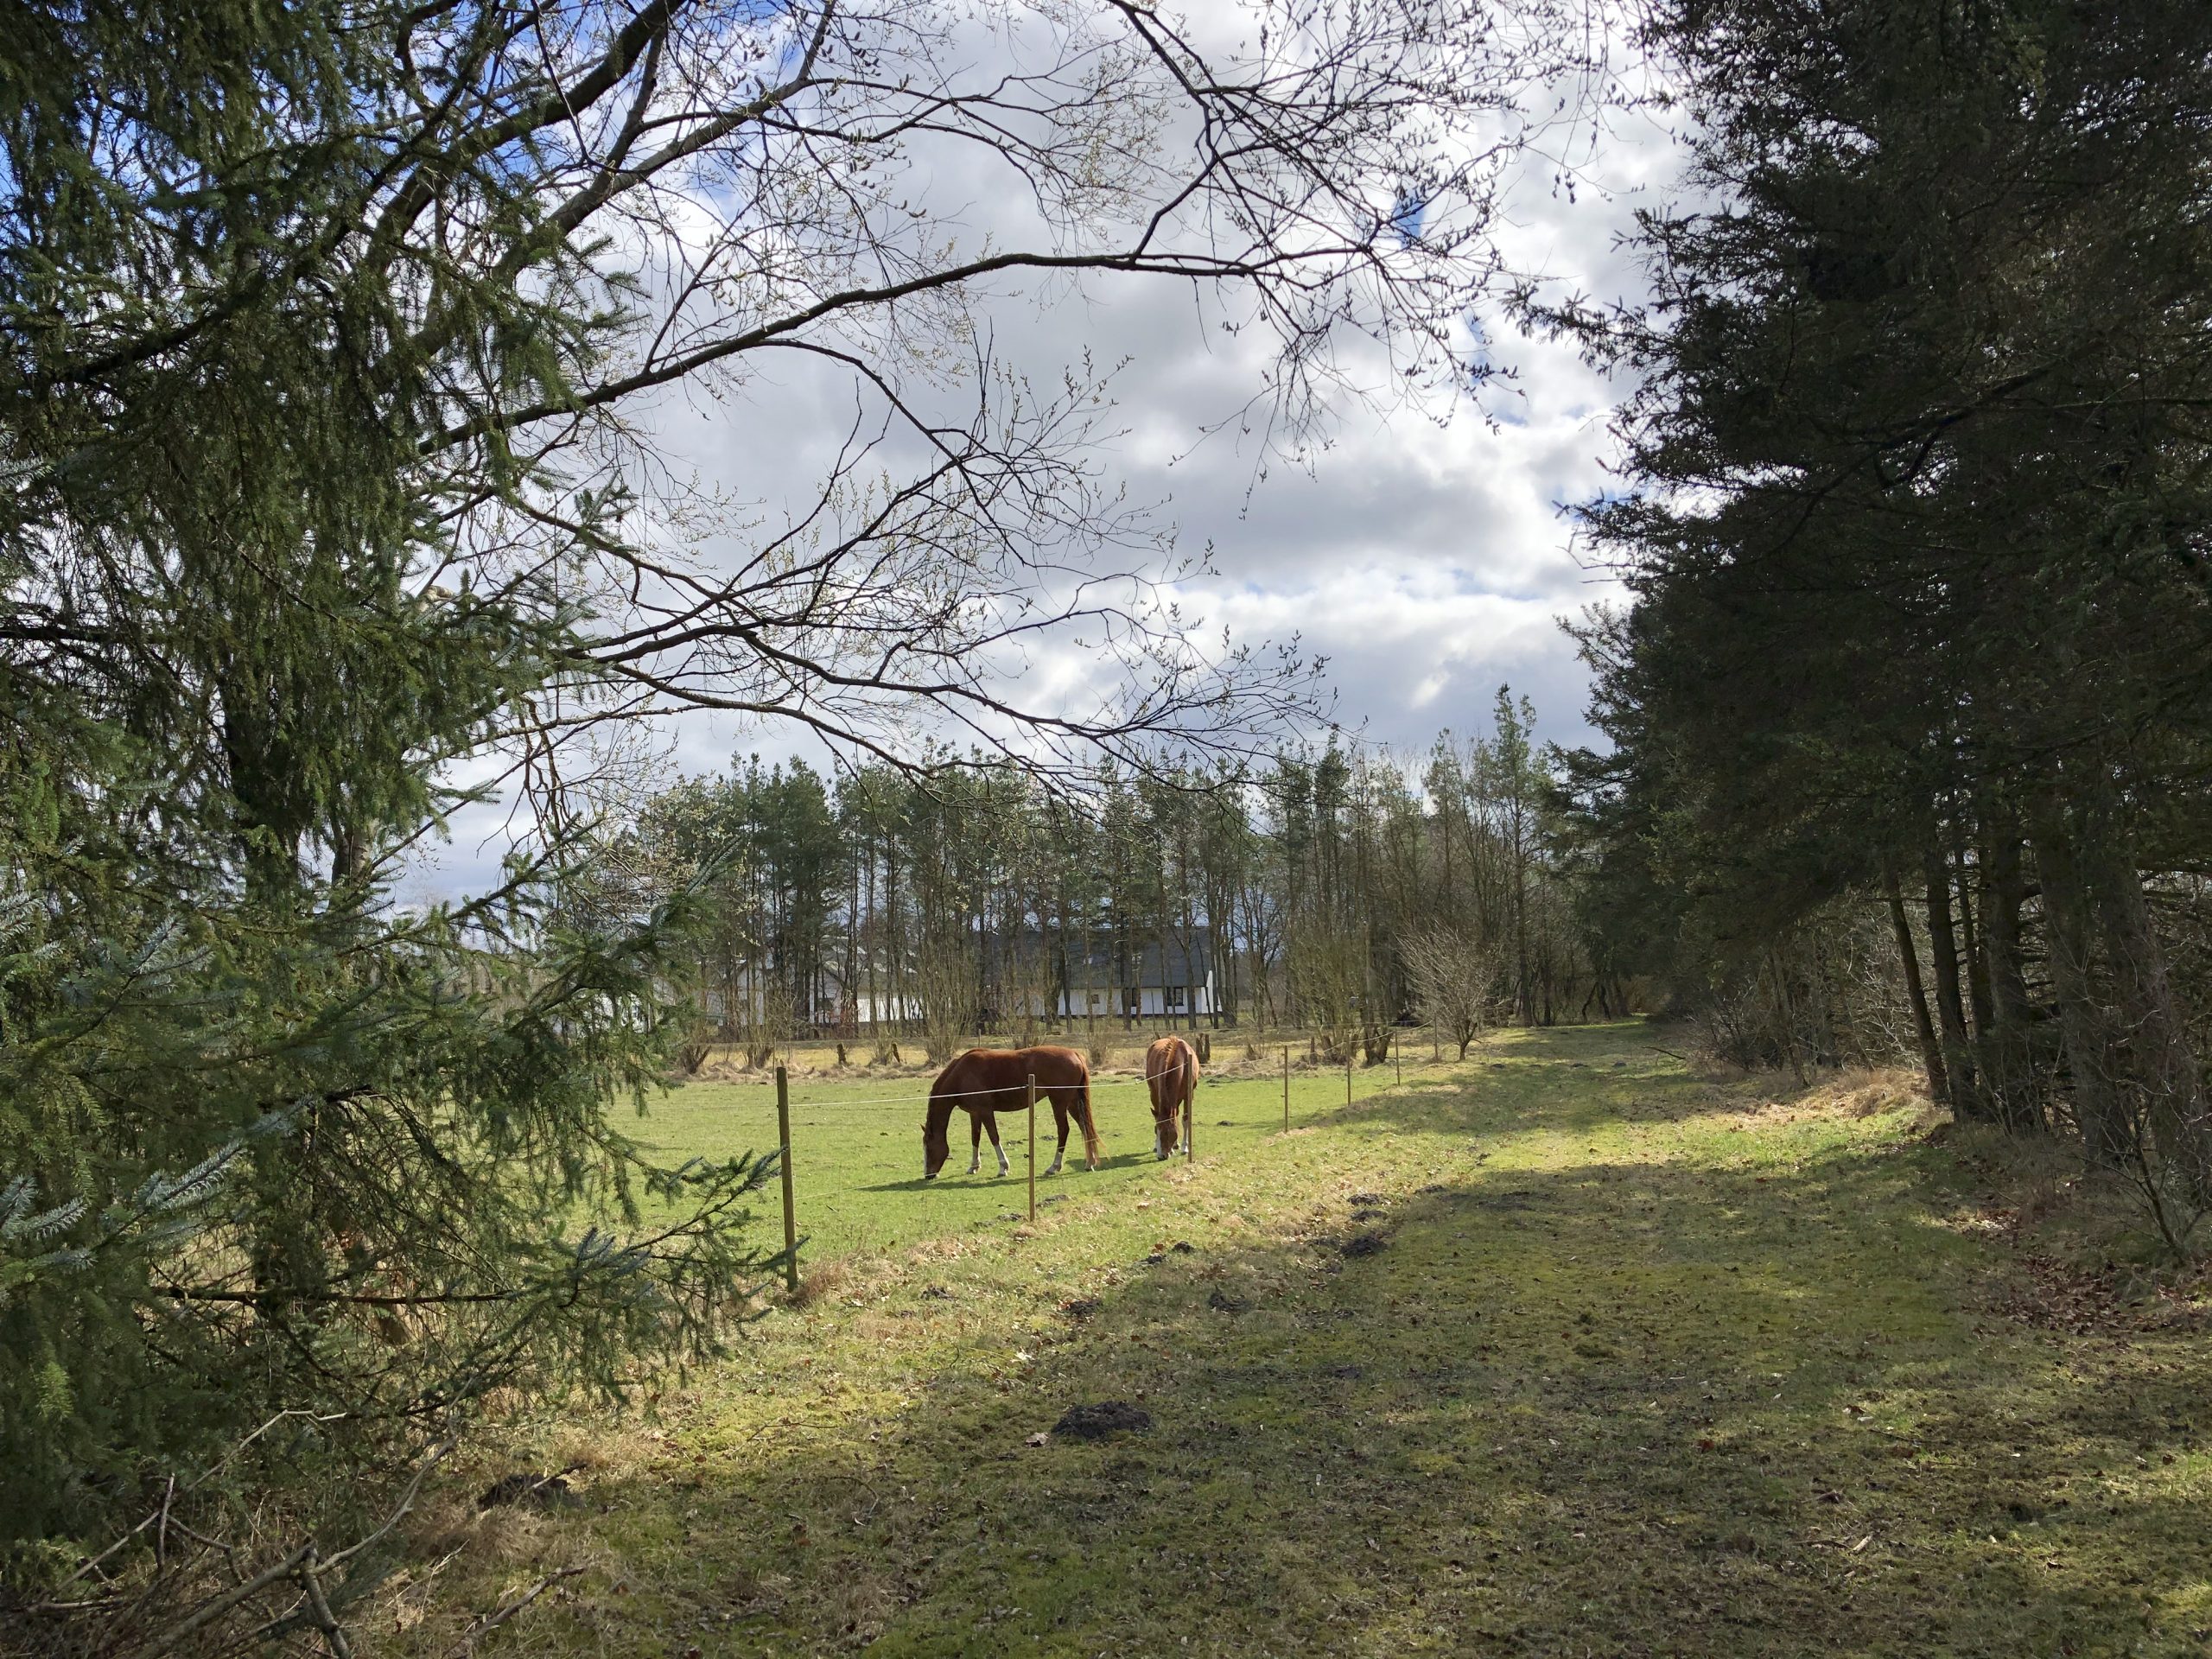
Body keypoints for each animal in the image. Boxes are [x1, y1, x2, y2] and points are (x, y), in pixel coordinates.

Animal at [915, 1052, 1096, 1185]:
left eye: (928, 1148)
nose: (928, 1175)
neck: (961, 1074)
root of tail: (1075, 1054)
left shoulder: (985, 1112)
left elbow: (994, 1137)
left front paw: (1003, 1167)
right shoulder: (975, 1113)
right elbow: (975, 1138)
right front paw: (974, 1166)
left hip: (1058, 1103)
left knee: (1064, 1130)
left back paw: (1054, 1167)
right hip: (1073, 1103)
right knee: (1084, 1127)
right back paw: (1090, 1162)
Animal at [1150, 1035, 1203, 1159]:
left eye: (1166, 1132)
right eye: (1156, 1130)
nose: (1161, 1156)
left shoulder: (1189, 1095)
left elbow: (1185, 1119)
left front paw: (1185, 1147)